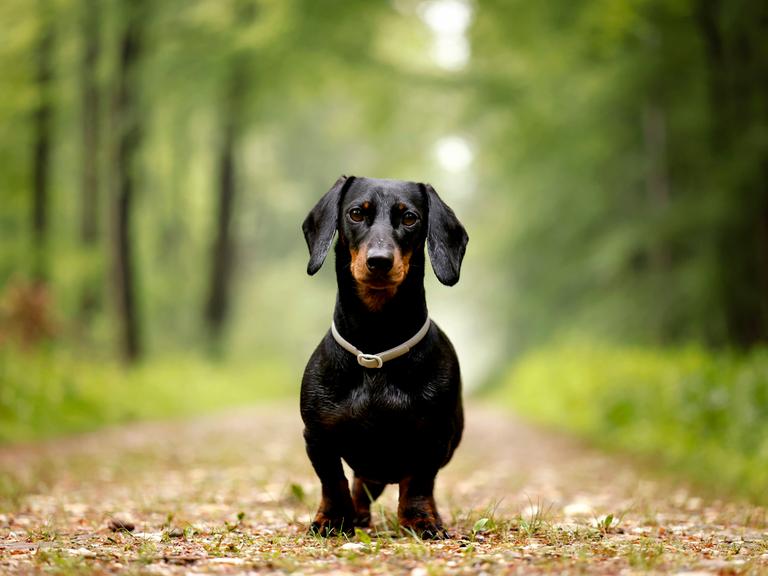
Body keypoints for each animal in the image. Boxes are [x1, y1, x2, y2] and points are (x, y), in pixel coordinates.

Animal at [300, 176, 468, 540]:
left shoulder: (433, 437)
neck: (374, 350)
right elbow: (332, 481)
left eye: (410, 218)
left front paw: (420, 521)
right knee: (360, 485)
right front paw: (332, 520)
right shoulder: (317, 436)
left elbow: (418, 483)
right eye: (355, 213)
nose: (379, 261)